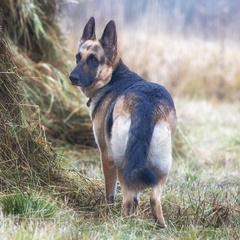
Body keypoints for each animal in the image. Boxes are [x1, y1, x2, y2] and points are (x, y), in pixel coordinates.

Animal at [69, 16, 176, 227]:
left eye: (93, 59)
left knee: (126, 198)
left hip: (120, 160)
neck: (112, 77)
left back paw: (123, 223)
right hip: (163, 164)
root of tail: (145, 102)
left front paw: (108, 211)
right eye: (78, 57)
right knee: (153, 197)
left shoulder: (106, 156)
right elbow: (137, 198)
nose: (72, 77)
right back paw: (159, 226)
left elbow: (110, 193)